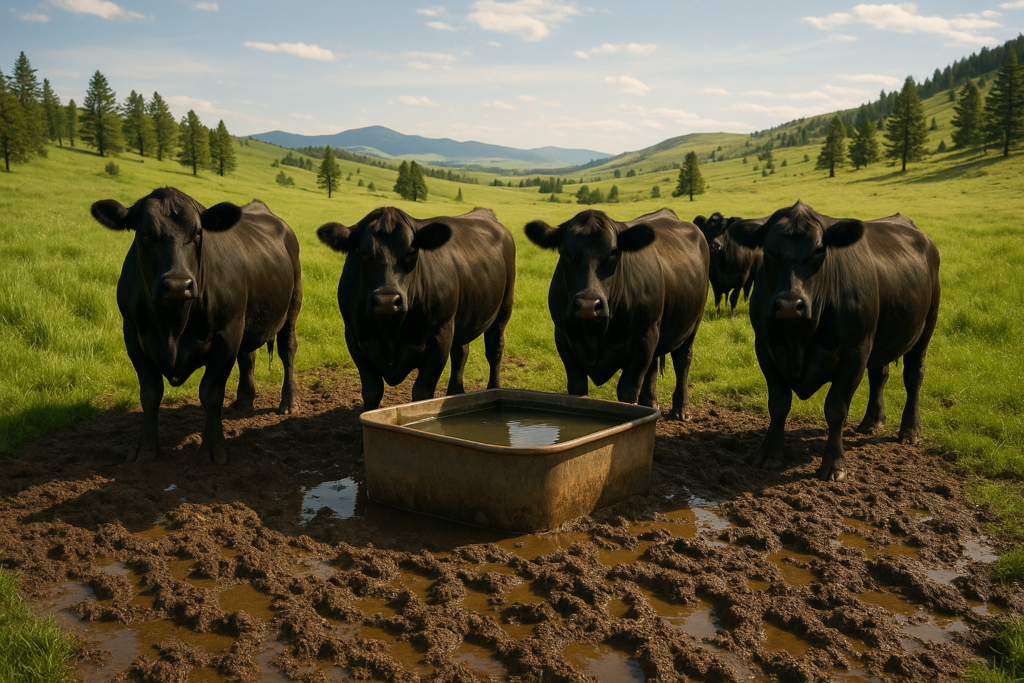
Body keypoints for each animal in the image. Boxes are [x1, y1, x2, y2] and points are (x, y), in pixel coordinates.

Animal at [90, 187, 303, 464]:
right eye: (144, 233)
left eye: (198, 232)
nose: (178, 285)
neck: (172, 326)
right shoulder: (133, 336)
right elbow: (150, 394)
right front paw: (145, 447)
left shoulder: (227, 335)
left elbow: (210, 394)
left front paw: (212, 448)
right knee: (248, 357)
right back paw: (244, 402)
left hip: (293, 303)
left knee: (287, 349)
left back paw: (288, 402)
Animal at [316, 206, 515, 410]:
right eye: (363, 252)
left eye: (410, 251)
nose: (386, 301)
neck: (390, 330)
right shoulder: (354, 336)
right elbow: (372, 392)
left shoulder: (440, 335)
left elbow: (422, 393)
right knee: (461, 352)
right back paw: (455, 393)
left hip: (504, 307)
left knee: (494, 349)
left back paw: (494, 389)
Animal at [524, 208, 709, 418]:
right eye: (565, 253)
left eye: (613, 252)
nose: (587, 305)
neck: (595, 333)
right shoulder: (563, 337)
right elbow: (577, 387)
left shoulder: (644, 338)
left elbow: (627, 391)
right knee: (653, 367)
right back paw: (650, 402)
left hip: (692, 323)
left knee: (682, 360)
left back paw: (681, 409)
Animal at [728, 201, 940, 481]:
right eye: (769, 250)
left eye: (819, 249)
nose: (789, 305)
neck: (799, 339)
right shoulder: (765, 347)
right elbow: (778, 404)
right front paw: (769, 454)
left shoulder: (855, 352)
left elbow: (836, 410)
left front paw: (834, 464)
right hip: (879, 339)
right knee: (879, 376)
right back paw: (872, 422)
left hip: (925, 326)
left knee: (914, 375)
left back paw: (910, 431)